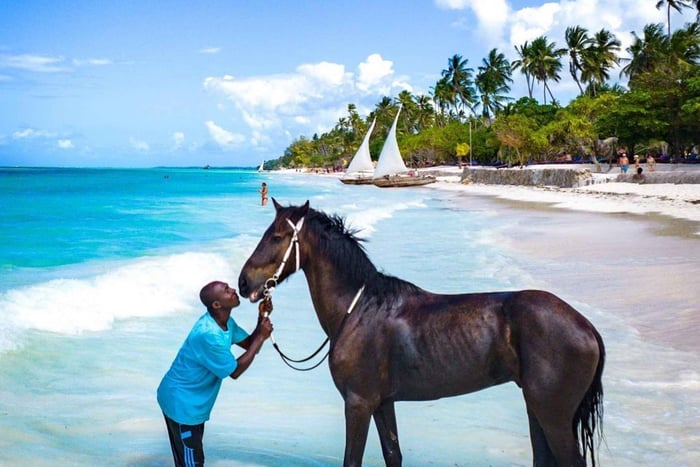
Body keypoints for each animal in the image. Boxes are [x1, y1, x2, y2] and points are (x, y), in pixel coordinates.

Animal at [238, 199, 605, 467]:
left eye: (275, 237)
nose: (243, 283)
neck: (357, 309)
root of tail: (587, 327)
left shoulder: (358, 403)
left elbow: (352, 461)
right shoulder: (381, 403)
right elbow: (393, 455)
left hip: (553, 415)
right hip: (536, 409)